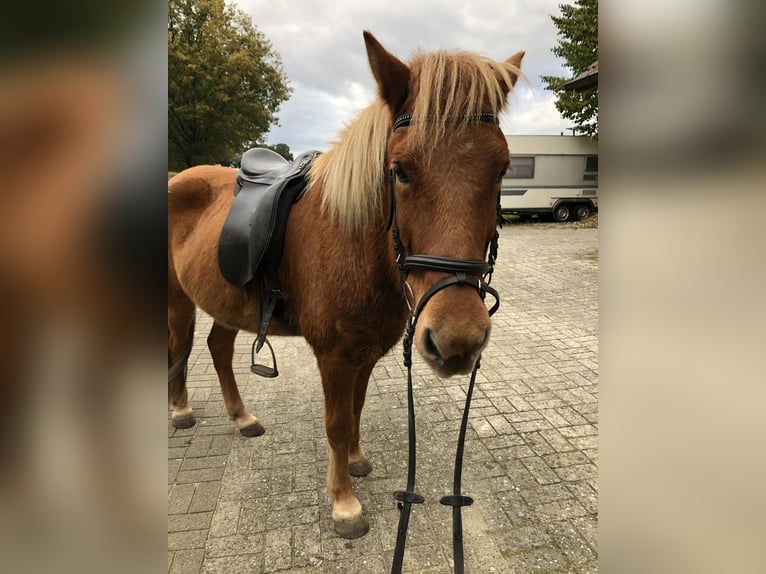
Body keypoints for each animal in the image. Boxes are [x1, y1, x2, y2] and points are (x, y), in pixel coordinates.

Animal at [169, 31, 524, 540]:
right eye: (400, 170)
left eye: (502, 170)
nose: (458, 341)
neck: (355, 243)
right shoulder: (334, 355)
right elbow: (337, 422)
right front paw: (344, 504)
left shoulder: (367, 350)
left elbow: (356, 409)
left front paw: (356, 461)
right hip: (177, 298)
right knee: (180, 345)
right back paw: (180, 411)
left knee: (218, 349)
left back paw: (242, 417)